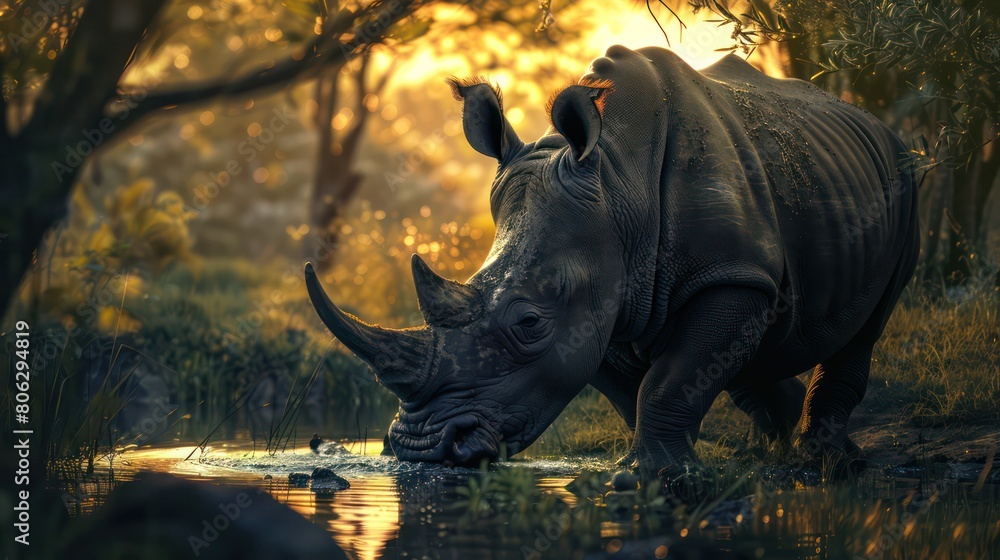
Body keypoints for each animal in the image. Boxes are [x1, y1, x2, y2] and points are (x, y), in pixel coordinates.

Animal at [305, 45, 919, 481]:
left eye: (528, 323)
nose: (423, 450)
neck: (616, 184)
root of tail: (875, 123)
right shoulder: (598, 300)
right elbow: (639, 389)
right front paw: (657, 466)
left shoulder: (727, 274)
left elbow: (670, 379)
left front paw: (652, 476)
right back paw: (771, 443)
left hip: (904, 176)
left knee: (868, 326)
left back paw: (828, 461)